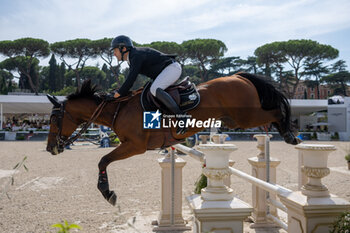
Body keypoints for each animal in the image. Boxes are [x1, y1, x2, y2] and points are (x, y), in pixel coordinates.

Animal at [45, 73, 298, 206]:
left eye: (54, 118)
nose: (50, 149)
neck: (118, 110)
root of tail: (238, 76)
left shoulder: (134, 146)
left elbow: (103, 161)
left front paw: (107, 193)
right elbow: (103, 160)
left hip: (246, 117)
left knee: (276, 110)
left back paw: (290, 134)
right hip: (238, 118)